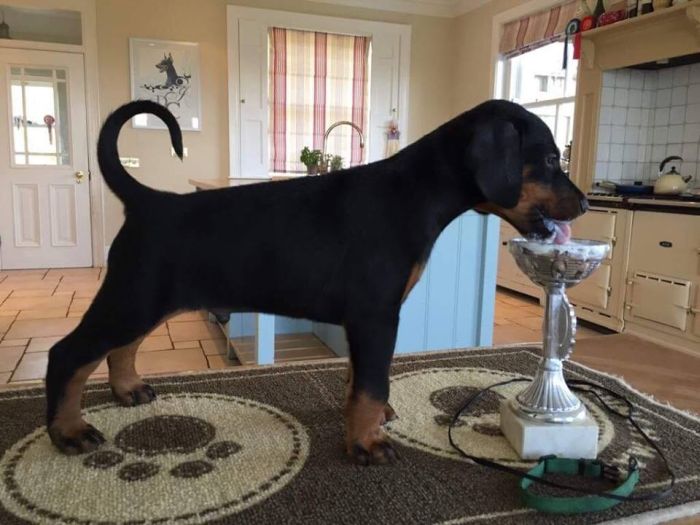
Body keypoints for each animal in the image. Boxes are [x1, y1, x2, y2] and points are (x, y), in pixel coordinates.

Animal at [45, 99, 587, 465]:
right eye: (549, 159)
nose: (585, 204)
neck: (415, 194)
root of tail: (149, 201)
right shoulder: (376, 314)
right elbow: (372, 382)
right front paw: (368, 443)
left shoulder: (363, 320)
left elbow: (358, 378)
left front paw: (369, 423)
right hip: (134, 295)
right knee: (67, 354)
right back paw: (68, 431)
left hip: (146, 298)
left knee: (120, 347)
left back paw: (128, 389)